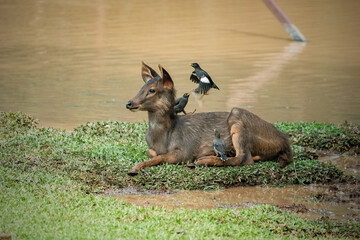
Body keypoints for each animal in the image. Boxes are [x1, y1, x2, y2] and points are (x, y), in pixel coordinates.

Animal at [124, 62, 292, 175]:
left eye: (152, 90)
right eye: (141, 88)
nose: (129, 103)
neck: (164, 136)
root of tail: (284, 142)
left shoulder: (184, 149)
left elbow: (160, 157)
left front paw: (135, 167)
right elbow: (152, 153)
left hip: (237, 117)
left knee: (244, 158)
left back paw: (203, 160)